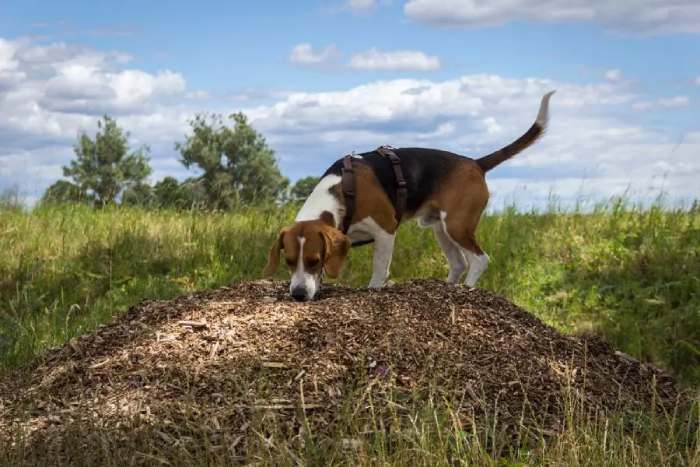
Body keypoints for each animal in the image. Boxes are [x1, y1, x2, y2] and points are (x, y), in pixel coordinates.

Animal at [266, 92, 556, 304]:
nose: (298, 295)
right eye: (288, 261)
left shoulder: (385, 231)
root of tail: (475, 163)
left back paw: (466, 290)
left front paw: (373, 289)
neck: (344, 191)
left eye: (314, 260)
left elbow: (379, 270)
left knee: (479, 260)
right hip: (441, 229)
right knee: (459, 263)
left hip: (457, 225)